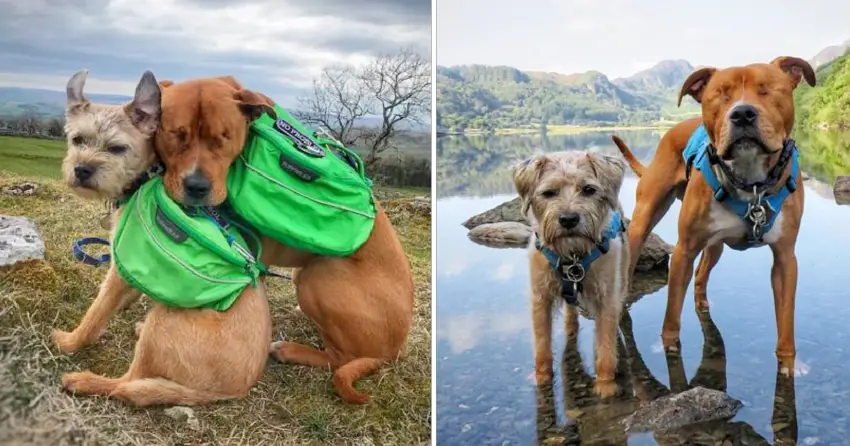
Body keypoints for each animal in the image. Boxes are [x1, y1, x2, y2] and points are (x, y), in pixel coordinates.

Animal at [154, 76, 416, 404]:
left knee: (341, 358)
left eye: (223, 138)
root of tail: (395, 350)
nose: (197, 187)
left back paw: (291, 350)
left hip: (319, 276)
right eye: (176, 135)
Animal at [510, 151, 628, 398]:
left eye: (589, 190)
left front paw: (605, 385)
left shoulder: (607, 299)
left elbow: (606, 345)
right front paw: (542, 378)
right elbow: (542, 345)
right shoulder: (540, 299)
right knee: (571, 313)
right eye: (548, 193)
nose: (568, 219)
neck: (572, 256)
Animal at [608, 57, 816, 374]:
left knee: (702, 274)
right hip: (643, 221)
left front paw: (789, 364)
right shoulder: (683, 251)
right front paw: (668, 348)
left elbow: (786, 322)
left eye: (767, 89)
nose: (742, 114)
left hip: (714, 245)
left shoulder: (785, 259)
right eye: (720, 94)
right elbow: (671, 315)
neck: (751, 184)